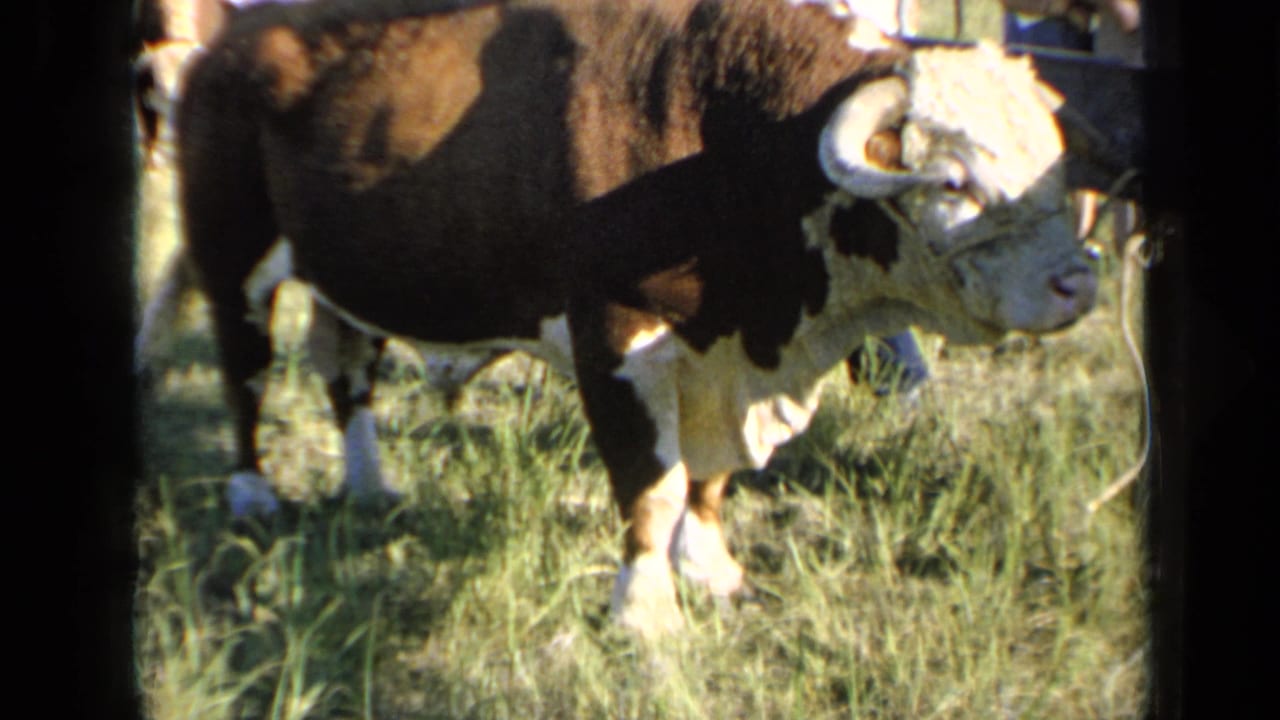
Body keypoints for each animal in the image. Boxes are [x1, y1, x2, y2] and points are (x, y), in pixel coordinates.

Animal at [162, 0, 1097, 636]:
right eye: (953, 181)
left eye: (1053, 164)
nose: (1078, 282)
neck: (724, 127)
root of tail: (236, 38)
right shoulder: (614, 336)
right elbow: (651, 484)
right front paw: (645, 612)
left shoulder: (721, 359)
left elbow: (710, 480)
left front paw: (712, 568)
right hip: (231, 255)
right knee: (245, 373)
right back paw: (252, 494)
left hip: (343, 275)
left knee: (350, 373)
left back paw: (368, 485)